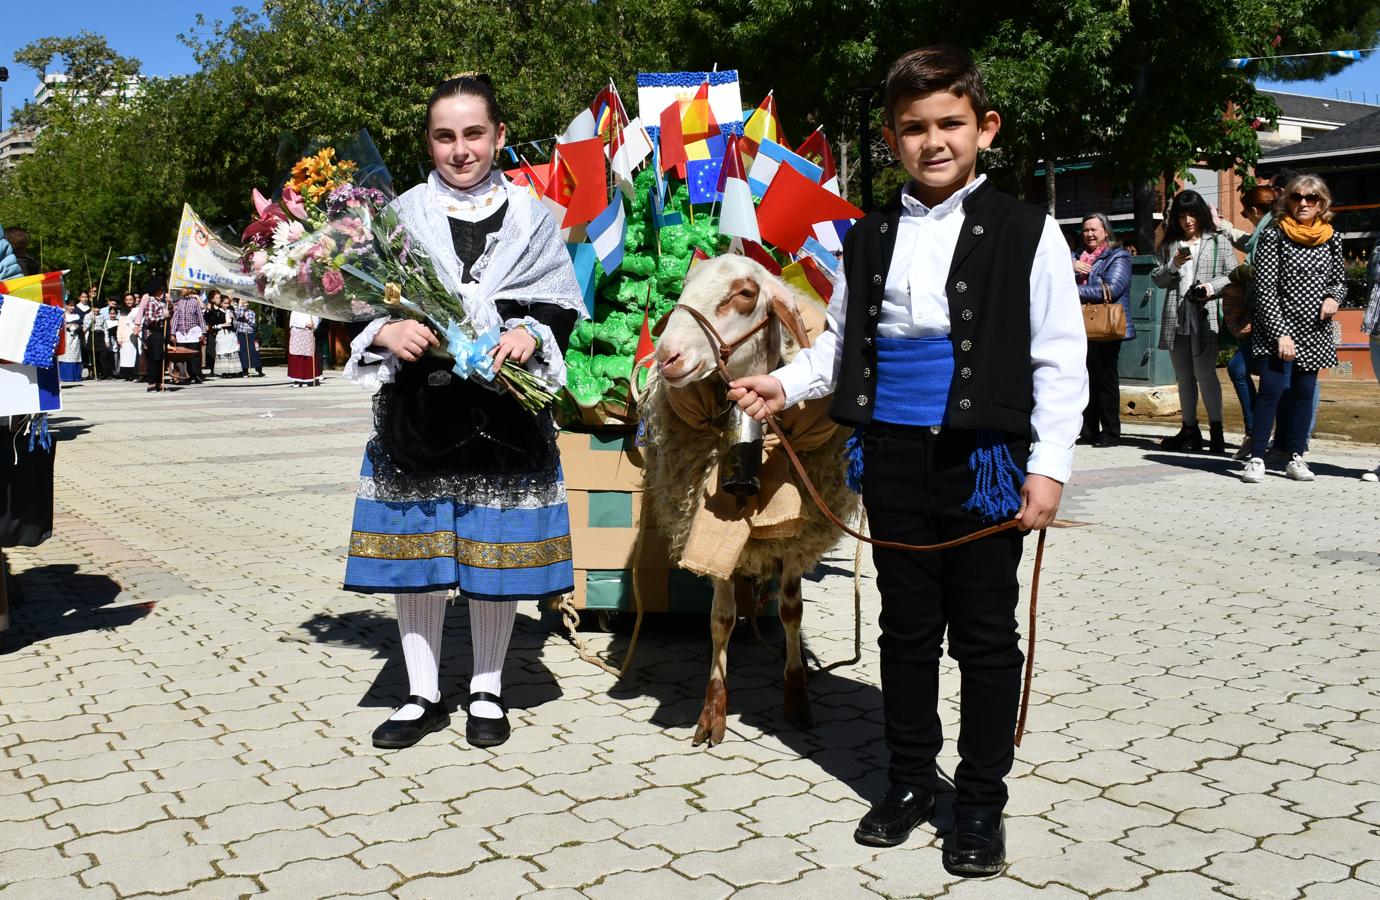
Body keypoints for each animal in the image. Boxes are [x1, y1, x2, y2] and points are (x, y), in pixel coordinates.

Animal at [640, 252, 855, 745]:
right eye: (685, 284)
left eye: (744, 293)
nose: (666, 356)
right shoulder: (705, 526)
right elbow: (720, 616)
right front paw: (712, 713)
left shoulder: (795, 537)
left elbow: (792, 611)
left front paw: (797, 696)